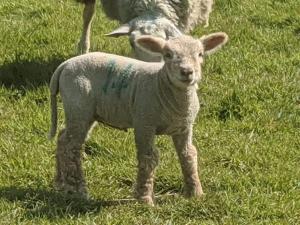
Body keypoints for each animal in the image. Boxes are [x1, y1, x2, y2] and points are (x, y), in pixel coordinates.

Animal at [48, 31, 227, 206]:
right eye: (167, 55)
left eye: (200, 54)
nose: (187, 72)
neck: (162, 85)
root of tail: (65, 65)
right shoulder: (144, 122)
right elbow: (148, 157)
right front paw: (144, 198)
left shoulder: (184, 126)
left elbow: (188, 154)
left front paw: (195, 193)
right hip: (79, 105)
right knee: (72, 147)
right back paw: (78, 190)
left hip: (83, 111)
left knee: (63, 138)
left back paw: (60, 182)